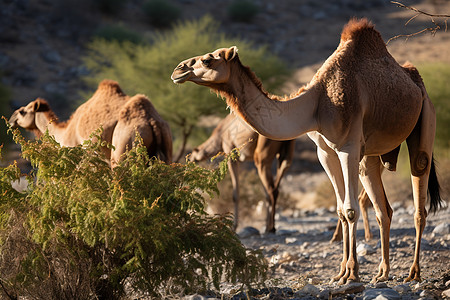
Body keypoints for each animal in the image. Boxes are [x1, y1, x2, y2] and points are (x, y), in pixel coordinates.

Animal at [11, 78, 172, 166]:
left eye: (23, 111)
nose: (12, 119)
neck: (65, 131)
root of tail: (152, 121)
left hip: (124, 146)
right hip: (166, 148)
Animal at [172, 18, 442, 284]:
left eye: (208, 60)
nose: (178, 70)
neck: (316, 104)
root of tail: (416, 83)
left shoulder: (348, 148)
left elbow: (350, 209)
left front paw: (352, 273)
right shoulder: (325, 152)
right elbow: (341, 210)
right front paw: (340, 272)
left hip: (425, 118)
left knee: (420, 190)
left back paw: (413, 272)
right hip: (371, 155)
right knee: (383, 208)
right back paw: (382, 272)